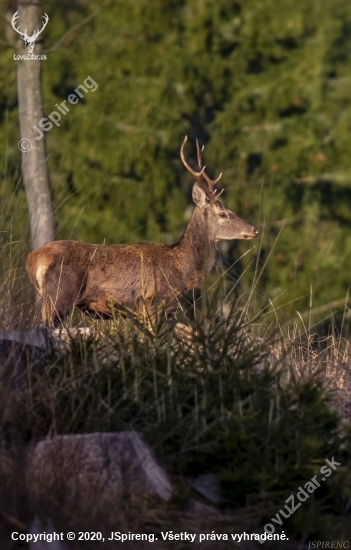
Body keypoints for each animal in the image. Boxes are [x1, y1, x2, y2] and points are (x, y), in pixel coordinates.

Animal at [26, 138, 258, 328]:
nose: (254, 230)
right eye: (223, 213)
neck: (183, 268)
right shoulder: (151, 302)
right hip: (58, 297)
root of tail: (34, 259)